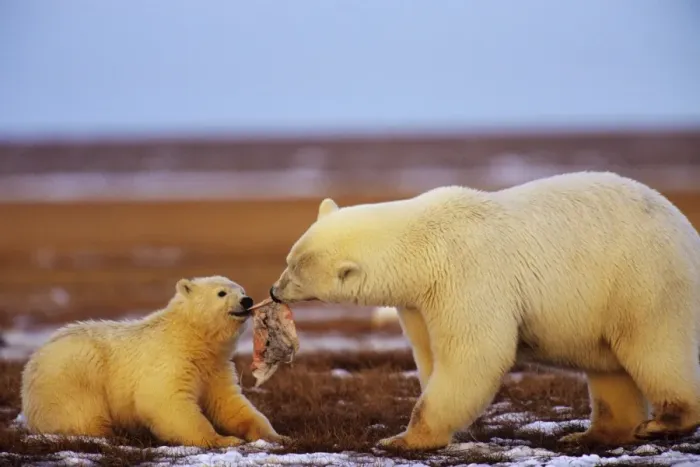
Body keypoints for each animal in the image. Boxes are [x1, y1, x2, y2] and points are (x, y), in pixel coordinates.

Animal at [21, 275, 287, 449]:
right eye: (221, 293)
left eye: (241, 289)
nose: (247, 300)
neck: (190, 337)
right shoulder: (171, 359)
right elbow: (165, 401)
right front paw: (223, 440)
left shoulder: (214, 368)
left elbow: (229, 403)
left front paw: (276, 436)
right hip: (73, 374)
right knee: (83, 414)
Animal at [269, 171, 700, 450]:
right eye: (289, 259)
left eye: (296, 269)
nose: (273, 290)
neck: (422, 243)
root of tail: (687, 231)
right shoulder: (419, 299)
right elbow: (430, 353)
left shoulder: (466, 274)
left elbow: (474, 355)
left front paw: (401, 439)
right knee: (609, 368)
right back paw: (592, 434)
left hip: (643, 281)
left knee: (653, 346)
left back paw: (662, 423)